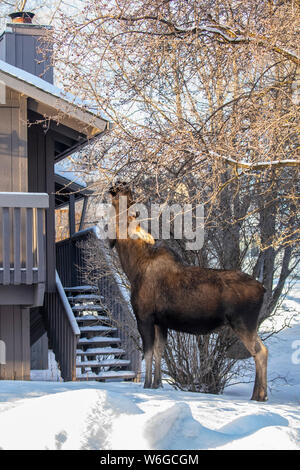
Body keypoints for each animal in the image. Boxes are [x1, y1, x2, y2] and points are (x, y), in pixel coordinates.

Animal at [109, 182, 268, 402]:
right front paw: (157, 384)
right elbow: (159, 352)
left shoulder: (145, 316)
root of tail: (263, 289)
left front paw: (147, 384)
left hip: (243, 322)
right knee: (263, 350)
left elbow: (148, 353)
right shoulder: (161, 322)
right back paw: (260, 394)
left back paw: (258, 396)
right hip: (247, 324)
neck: (133, 267)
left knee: (260, 351)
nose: (120, 185)